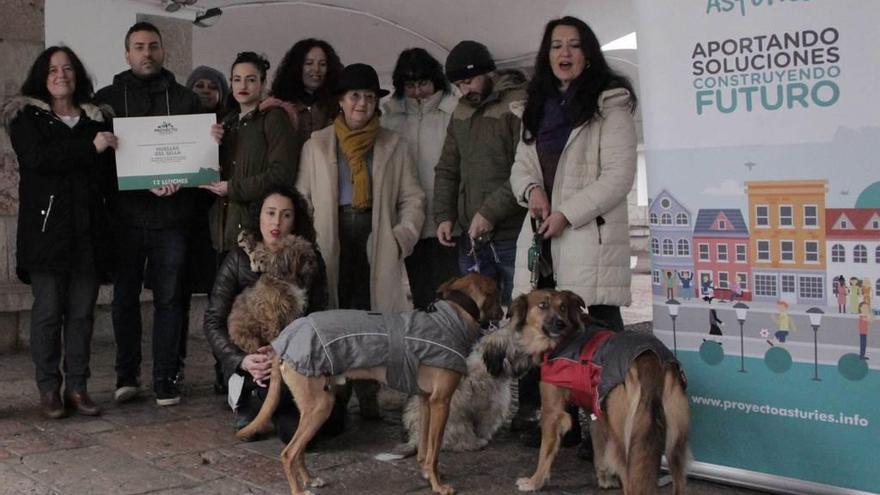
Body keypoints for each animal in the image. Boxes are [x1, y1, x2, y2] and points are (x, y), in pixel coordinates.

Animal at [237, 276, 506, 495]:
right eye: (497, 292)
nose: (505, 314)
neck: (451, 318)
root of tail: (283, 342)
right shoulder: (441, 403)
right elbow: (435, 450)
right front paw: (438, 486)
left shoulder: (426, 400)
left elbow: (424, 448)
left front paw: (427, 475)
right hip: (320, 407)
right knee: (289, 453)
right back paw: (298, 490)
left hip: (313, 408)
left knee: (298, 450)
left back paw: (310, 480)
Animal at [484, 290, 692, 495]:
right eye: (543, 305)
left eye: (563, 307)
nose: (560, 324)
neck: (564, 341)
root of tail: (648, 359)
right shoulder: (595, 411)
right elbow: (598, 448)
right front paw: (605, 480)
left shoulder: (552, 412)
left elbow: (545, 451)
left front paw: (535, 482)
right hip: (675, 446)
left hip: (623, 440)